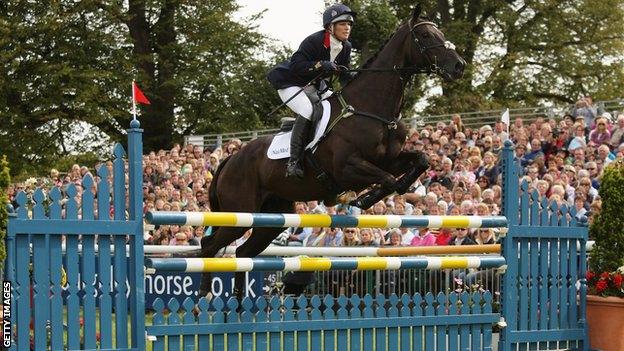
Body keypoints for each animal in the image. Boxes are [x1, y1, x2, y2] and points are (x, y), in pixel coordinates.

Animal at [199, 4, 464, 298]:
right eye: (426, 35)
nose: (459, 66)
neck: (371, 108)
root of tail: (230, 158)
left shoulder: (390, 159)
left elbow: (420, 160)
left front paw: (379, 194)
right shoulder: (347, 168)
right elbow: (387, 179)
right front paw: (363, 199)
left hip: (270, 218)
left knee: (242, 253)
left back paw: (238, 304)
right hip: (240, 212)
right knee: (209, 246)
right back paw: (203, 298)